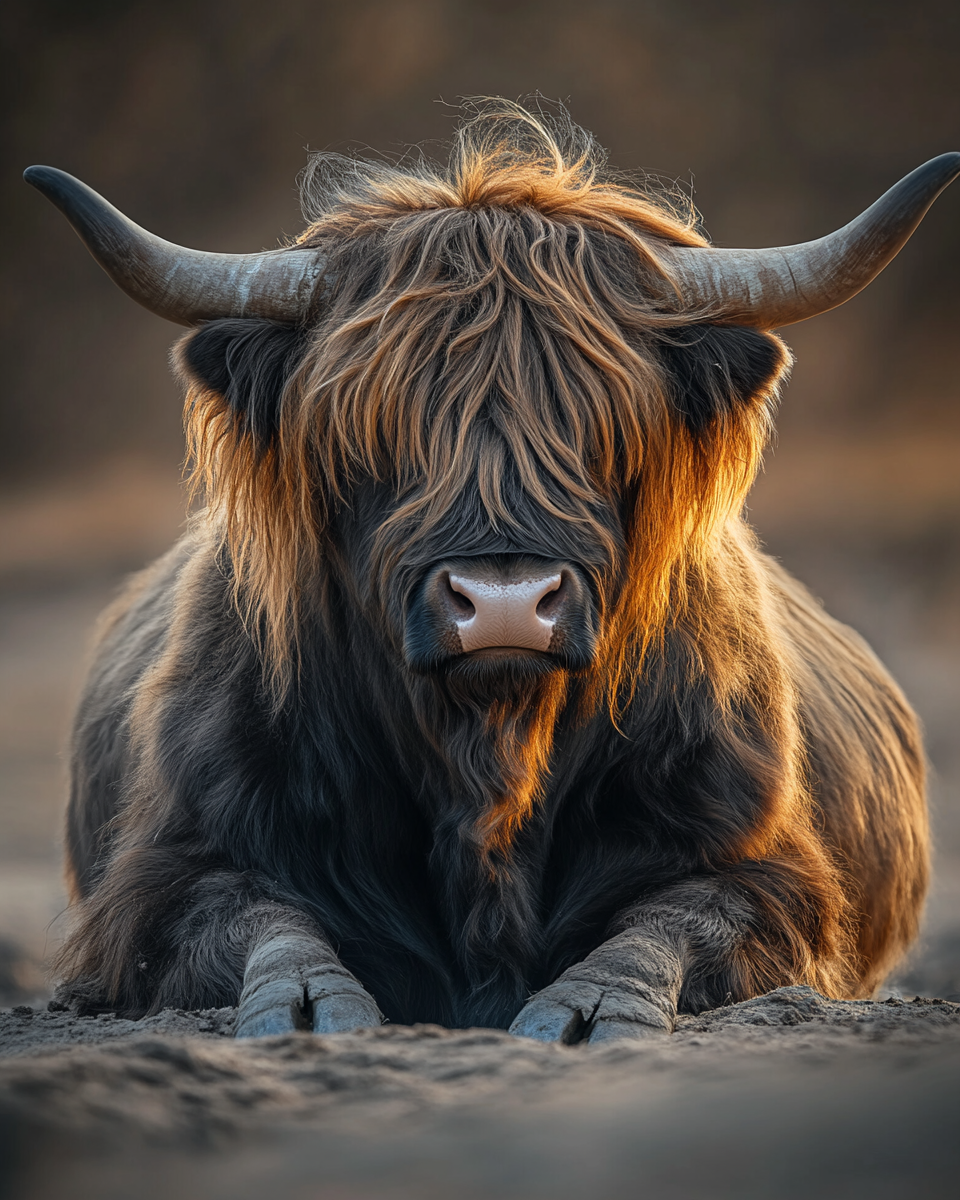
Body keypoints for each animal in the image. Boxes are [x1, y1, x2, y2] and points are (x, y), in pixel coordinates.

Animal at [26, 105, 955, 1041]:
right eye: (372, 434)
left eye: (605, 431)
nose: (505, 603)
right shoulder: (169, 874)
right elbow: (262, 920)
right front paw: (308, 1009)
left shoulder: (765, 870)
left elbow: (674, 923)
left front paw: (591, 1008)